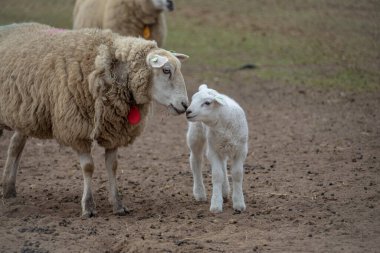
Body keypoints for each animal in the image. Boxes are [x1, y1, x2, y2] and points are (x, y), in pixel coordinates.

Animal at [0, 22, 189, 218]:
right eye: (166, 70)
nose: (185, 105)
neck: (109, 70)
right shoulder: (77, 129)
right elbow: (89, 167)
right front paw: (88, 206)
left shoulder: (114, 129)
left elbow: (113, 166)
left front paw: (118, 204)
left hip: (24, 114)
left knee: (15, 145)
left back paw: (8, 188)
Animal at [185, 84, 249, 212]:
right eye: (193, 99)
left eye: (207, 103)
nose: (188, 111)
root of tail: (205, 88)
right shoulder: (213, 151)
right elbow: (217, 175)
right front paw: (216, 205)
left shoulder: (241, 151)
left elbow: (237, 174)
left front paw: (239, 203)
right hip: (196, 135)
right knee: (195, 161)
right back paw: (199, 193)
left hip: (221, 145)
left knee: (223, 163)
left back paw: (225, 191)